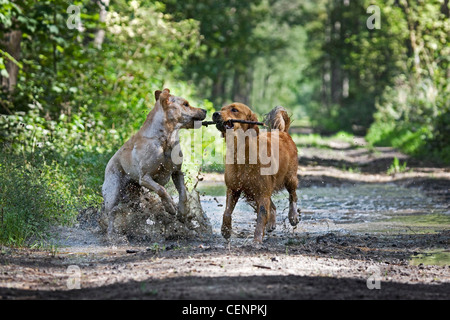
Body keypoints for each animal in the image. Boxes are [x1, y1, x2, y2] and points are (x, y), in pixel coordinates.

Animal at [101, 89, 206, 241]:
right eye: (186, 104)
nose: (205, 110)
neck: (165, 139)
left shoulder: (177, 173)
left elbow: (183, 194)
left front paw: (182, 212)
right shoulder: (145, 177)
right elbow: (161, 189)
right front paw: (169, 207)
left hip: (133, 194)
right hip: (113, 192)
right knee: (111, 214)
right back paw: (111, 234)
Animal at [212, 104, 298, 244]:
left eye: (234, 109)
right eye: (222, 108)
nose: (215, 114)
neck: (243, 150)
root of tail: (282, 132)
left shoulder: (262, 191)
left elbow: (262, 215)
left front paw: (257, 240)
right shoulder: (234, 188)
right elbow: (227, 212)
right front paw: (225, 230)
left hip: (289, 178)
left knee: (293, 196)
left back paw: (293, 216)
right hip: (256, 190)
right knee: (272, 206)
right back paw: (271, 223)